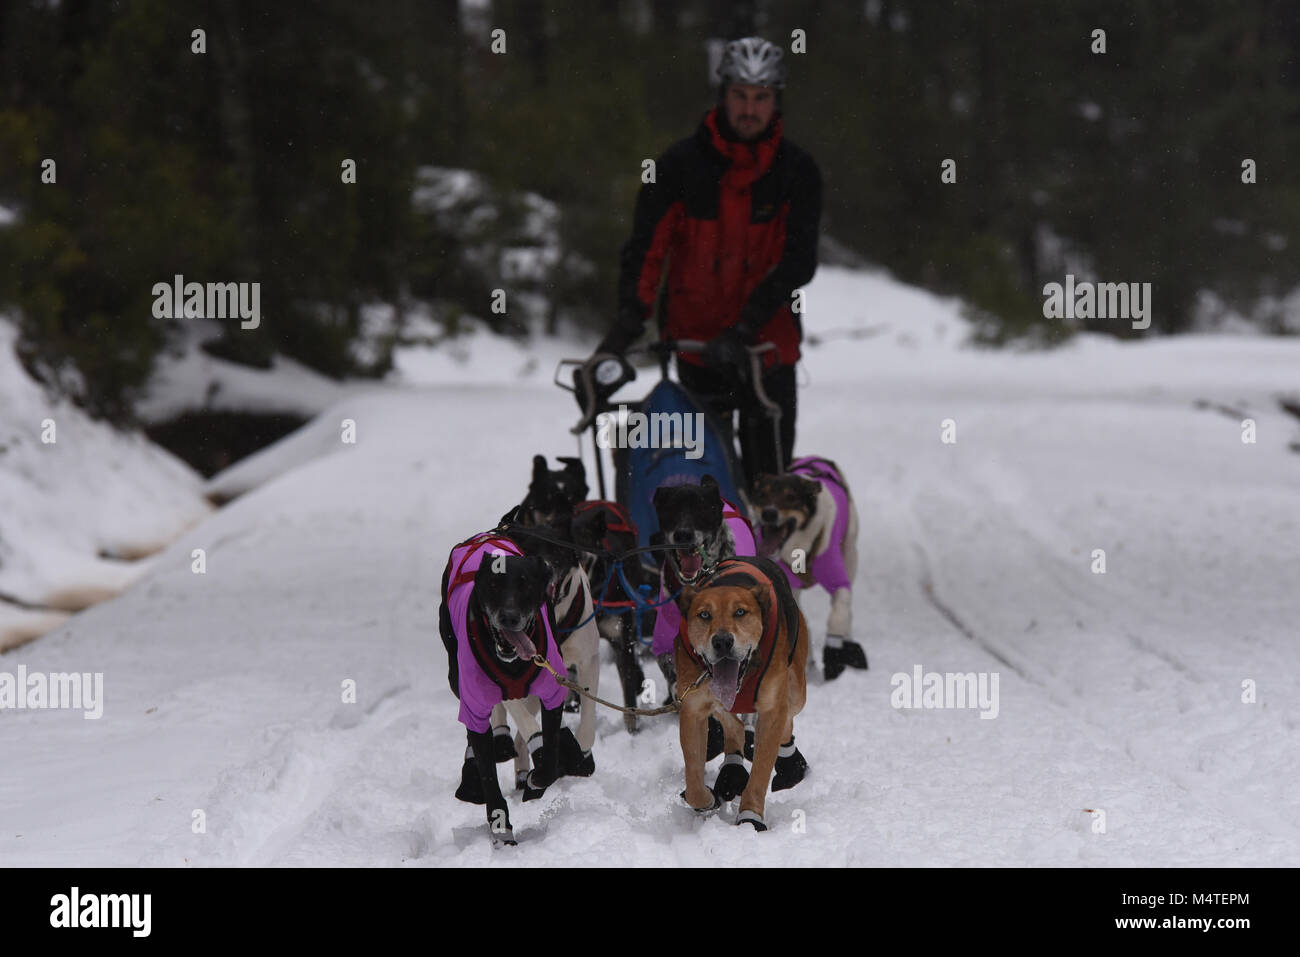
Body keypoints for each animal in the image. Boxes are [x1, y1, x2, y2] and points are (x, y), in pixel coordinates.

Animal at [676, 553, 806, 832]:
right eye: (704, 614)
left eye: (740, 612)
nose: (722, 641)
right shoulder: (693, 707)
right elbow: (693, 777)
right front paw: (706, 799)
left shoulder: (771, 709)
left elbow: (760, 771)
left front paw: (750, 815)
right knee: (733, 723)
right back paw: (731, 770)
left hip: (796, 689)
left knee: (788, 717)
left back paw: (790, 763)